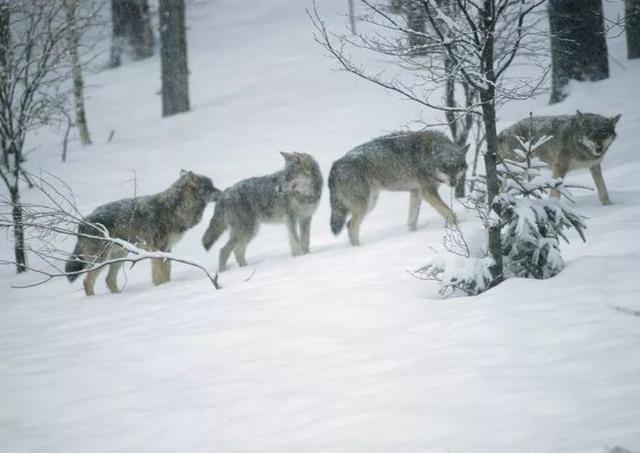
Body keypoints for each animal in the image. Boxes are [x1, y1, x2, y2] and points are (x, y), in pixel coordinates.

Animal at [65, 170, 220, 296]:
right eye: (211, 186)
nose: (222, 192)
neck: (175, 208)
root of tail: (83, 221)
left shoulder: (166, 249)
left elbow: (166, 273)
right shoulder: (157, 250)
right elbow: (160, 275)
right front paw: (162, 288)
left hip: (119, 256)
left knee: (109, 280)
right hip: (102, 260)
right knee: (87, 282)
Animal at [328, 129, 468, 245]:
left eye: (457, 168)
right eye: (445, 168)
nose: (453, 183)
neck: (427, 156)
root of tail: (335, 166)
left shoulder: (416, 192)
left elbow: (412, 220)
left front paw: (413, 235)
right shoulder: (428, 192)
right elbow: (449, 213)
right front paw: (460, 227)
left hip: (370, 203)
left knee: (350, 225)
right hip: (366, 205)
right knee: (351, 226)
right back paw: (358, 248)